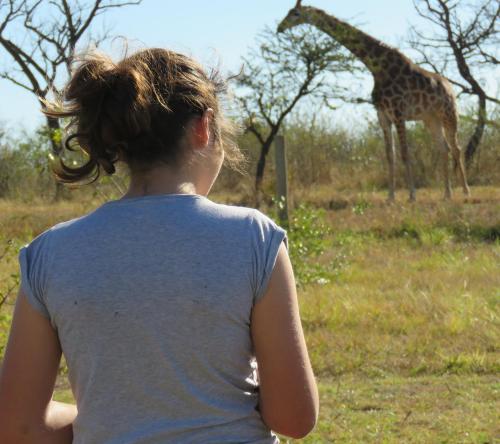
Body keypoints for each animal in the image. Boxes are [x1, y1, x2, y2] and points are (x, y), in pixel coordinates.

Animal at [276, 0, 470, 201]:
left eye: (296, 13)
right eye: (289, 12)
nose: (280, 28)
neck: (377, 67)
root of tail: (450, 88)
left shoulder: (398, 113)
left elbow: (405, 154)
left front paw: (412, 195)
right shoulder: (383, 115)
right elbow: (390, 156)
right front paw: (391, 197)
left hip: (449, 114)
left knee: (456, 147)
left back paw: (465, 191)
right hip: (430, 119)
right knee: (444, 148)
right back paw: (447, 194)